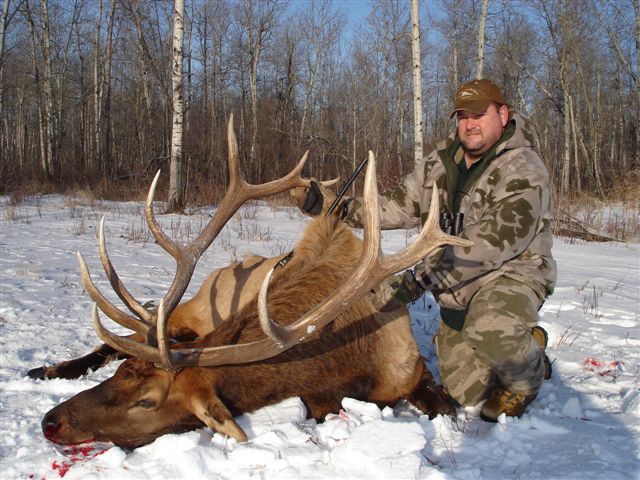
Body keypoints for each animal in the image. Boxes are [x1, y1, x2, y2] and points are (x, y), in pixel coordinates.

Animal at [36, 118, 471, 448]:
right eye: (123, 373)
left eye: (146, 402)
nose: (51, 421)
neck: (350, 360)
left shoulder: (411, 370)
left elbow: (447, 408)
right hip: (194, 310)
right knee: (130, 332)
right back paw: (47, 368)